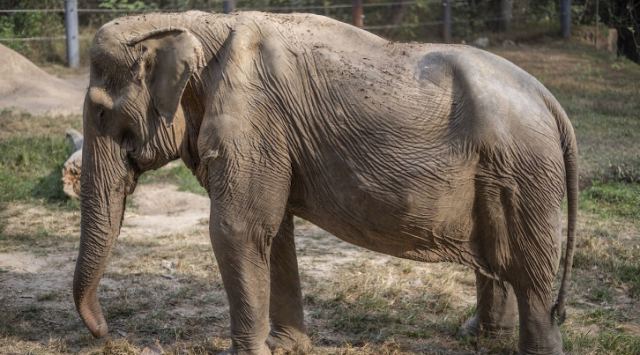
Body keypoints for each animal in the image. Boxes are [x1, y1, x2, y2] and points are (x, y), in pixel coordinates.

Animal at [72, 11, 576, 355]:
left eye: (100, 113)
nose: (105, 332)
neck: (195, 23)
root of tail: (551, 101)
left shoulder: (254, 121)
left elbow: (238, 229)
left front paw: (254, 352)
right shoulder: (270, 136)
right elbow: (272, 233)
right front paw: (286, 347)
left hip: (525, 172)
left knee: (530, 271)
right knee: (499, 258)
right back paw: (477, 336)